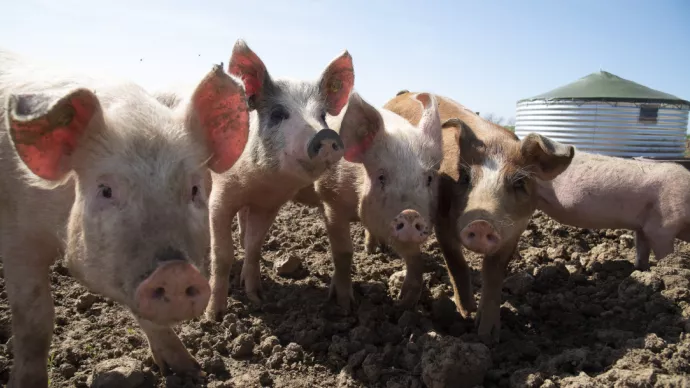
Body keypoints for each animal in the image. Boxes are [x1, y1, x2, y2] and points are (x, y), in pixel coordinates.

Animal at [0, 48, 251, 384]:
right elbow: (34, 319)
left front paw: (192, 371)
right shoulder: (18, 237)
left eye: (195, 189)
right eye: (106, 190)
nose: (175, 272)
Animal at [175, 39, 352, 320]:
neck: (259, 183)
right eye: (278, 113)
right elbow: (223, 254)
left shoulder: (269, 205)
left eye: (323, 115)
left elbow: (254, 246)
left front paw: (257, 298)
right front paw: (214, 316)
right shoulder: (221, 196)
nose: (325, 135)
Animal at [290, 91, 440, 310]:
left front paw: (404, 302)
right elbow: (343, 252)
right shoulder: (331, 201)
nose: (411, 214)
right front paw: (345, 305)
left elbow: (415, 256)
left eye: (429, 178)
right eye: (381, 177)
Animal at [384, 90, 572, 340]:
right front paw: (466, 312)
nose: (482, 223)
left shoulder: (515, 231)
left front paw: (487, 335)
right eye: (465, 177)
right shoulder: (442, 220)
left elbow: (493, 273)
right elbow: (456, 263)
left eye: (519, 182)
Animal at [536, 152, 688, 270]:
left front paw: (642, 270)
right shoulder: (662, 228)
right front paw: (666, 266)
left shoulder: (642, 229)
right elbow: (665, 254)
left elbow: (642, 250)